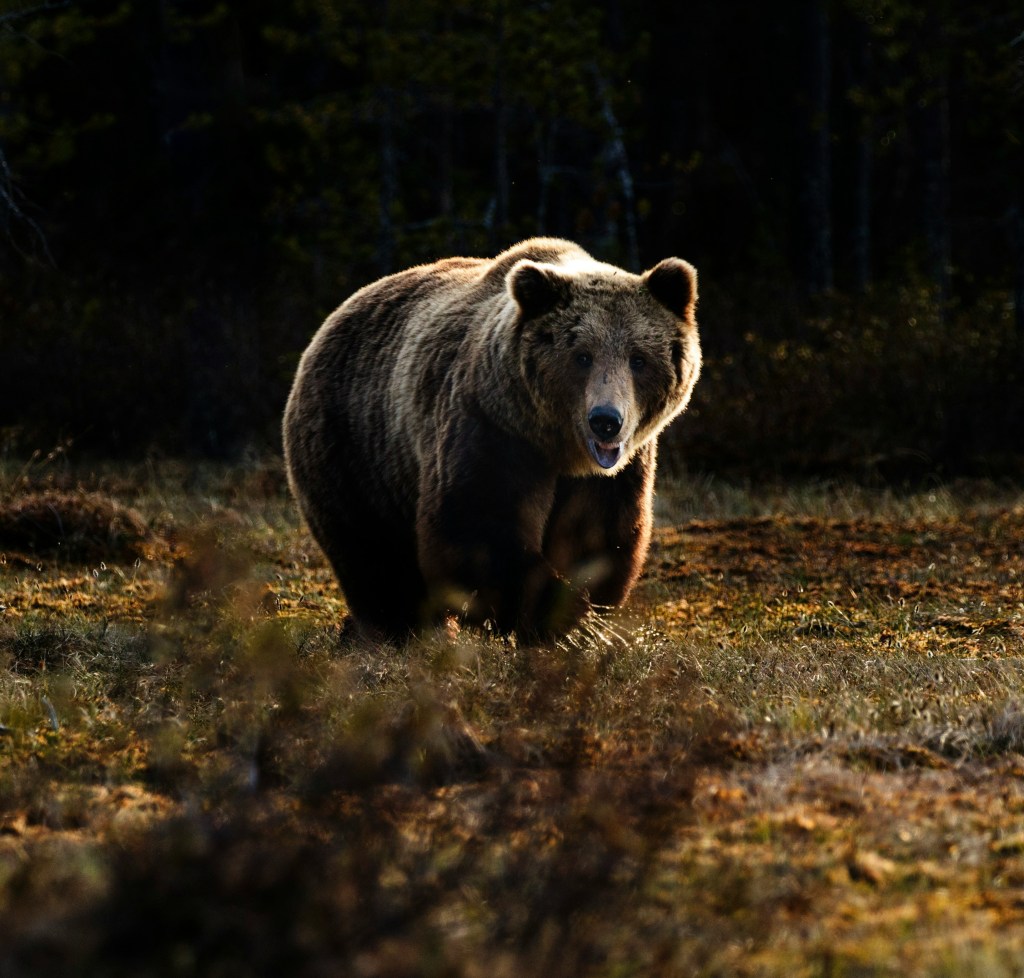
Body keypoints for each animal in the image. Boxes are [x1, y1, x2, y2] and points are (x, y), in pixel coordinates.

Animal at [284, 238, 700, 643]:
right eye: (582, 356)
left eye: (638, 359)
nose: (606, 422)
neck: (559, 447)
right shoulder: (492, 428)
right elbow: (477, 527)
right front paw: (560, 620)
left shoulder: (616, 471)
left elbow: (599, 536)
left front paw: (583, 617)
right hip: (355, 444)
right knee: (372, 553)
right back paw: (399, 629)